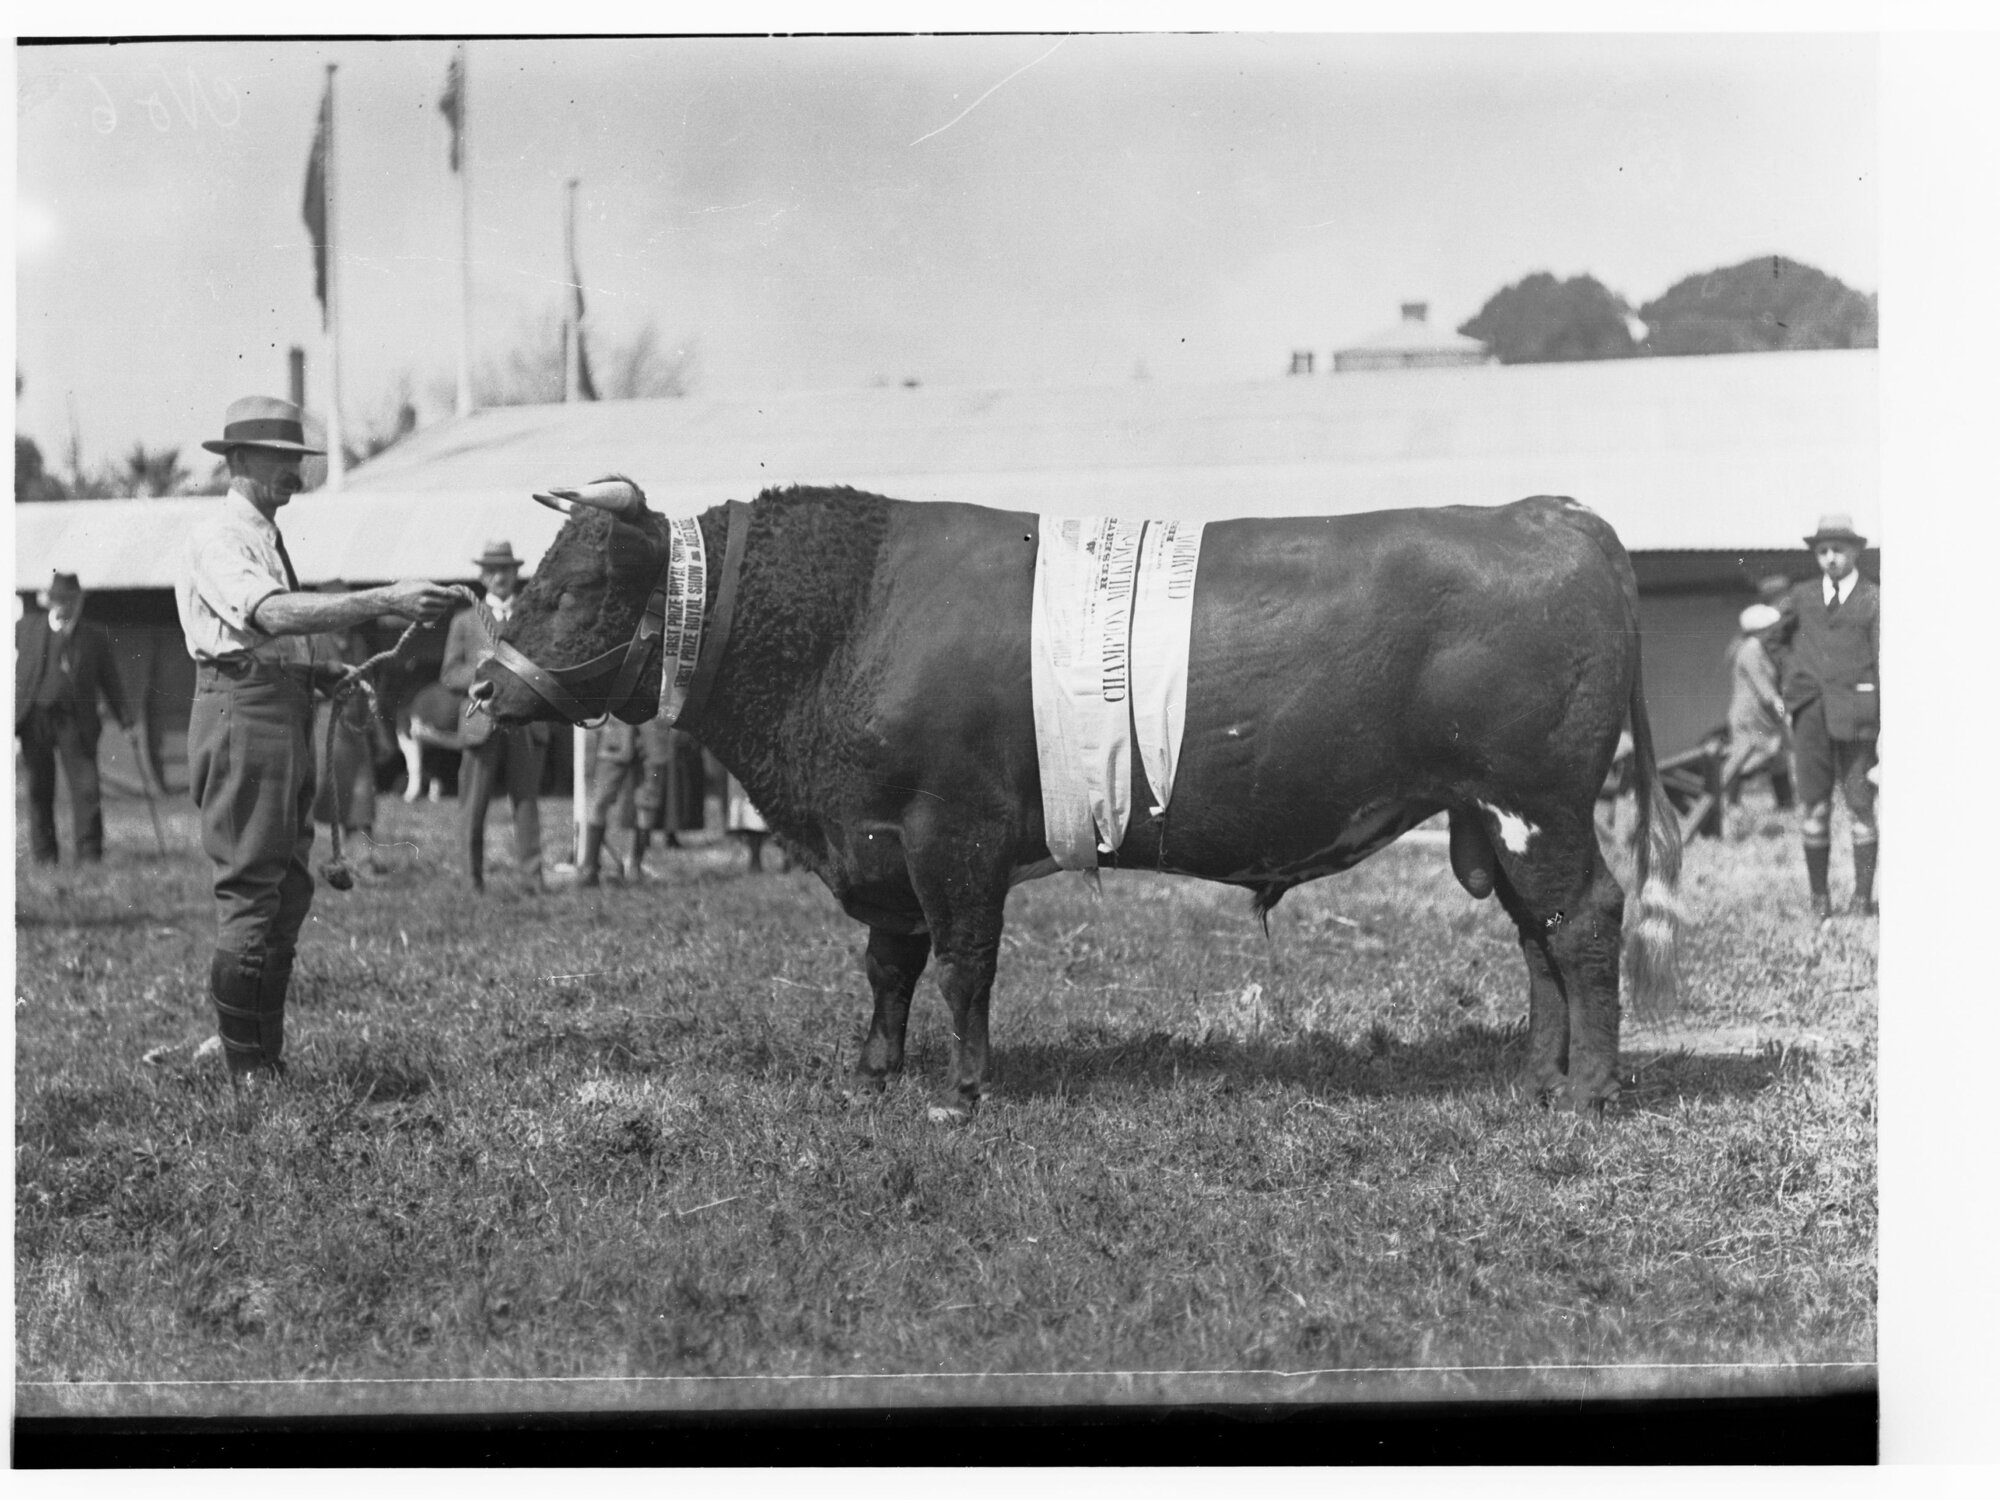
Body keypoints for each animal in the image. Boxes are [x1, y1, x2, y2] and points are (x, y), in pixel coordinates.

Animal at [470, 480, 1681, 1116]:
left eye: (575, 586)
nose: (482, 684)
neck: (848, 618)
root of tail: (1546, 513)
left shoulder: (948, 832)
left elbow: (962, 967)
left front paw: (963, 1090)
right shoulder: (883, 848)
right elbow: (888, 967)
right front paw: (875, 1069)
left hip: (1538, 803)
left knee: (1582, 924)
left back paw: (1588, 1091)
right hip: (1492, 815)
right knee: (1534, 936)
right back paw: (1533, 1077)